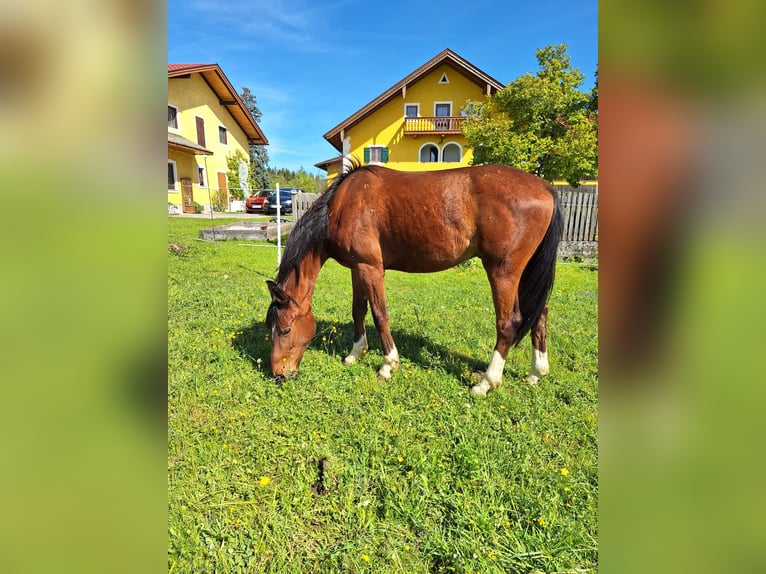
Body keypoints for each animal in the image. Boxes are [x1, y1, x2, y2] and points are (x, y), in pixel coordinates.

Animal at [266, 164, 564, 394]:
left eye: (285, 330)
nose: (279, 374)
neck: (342, 205)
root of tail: (546, 188)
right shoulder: (357, 268)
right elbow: (358, 310)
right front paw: (355, 353)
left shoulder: (371, 268)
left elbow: (380, 315)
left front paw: (387, 365)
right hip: (526, 273)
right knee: (540, 312)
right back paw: (536, 372)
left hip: (503, 271)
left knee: (509, 322)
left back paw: (486, 382)